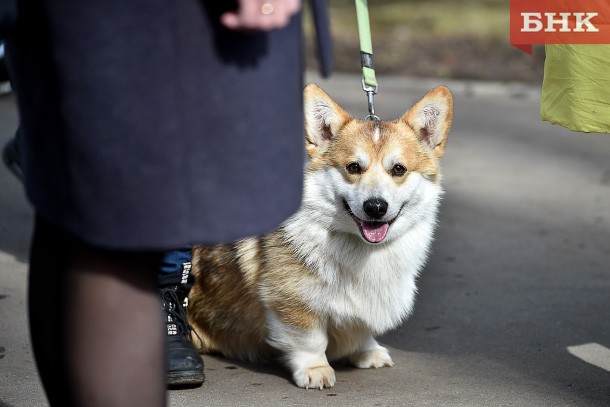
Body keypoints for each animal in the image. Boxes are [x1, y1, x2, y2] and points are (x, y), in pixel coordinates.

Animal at [189, 83, 452, 388]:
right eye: (353, 167)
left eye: (398, 169)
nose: (375, 207)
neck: (362, 249)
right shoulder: (292, 300)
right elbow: (310, 339)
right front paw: (315, 370)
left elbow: (362, 329)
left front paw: (367, 351)